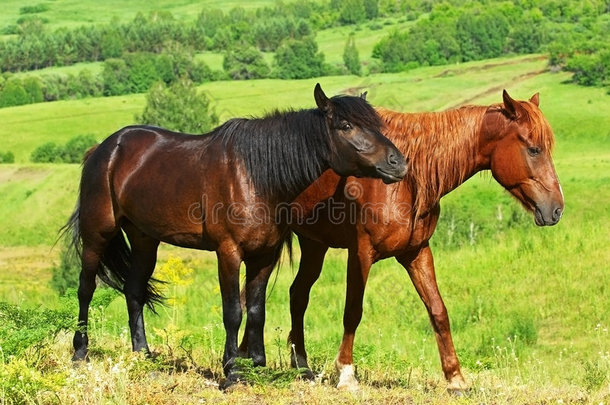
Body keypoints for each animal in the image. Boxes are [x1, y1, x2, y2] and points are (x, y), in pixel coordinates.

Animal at [63, 83, 404, 386]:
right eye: (346, 125)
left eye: (378, 125)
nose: (398, 163)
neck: (254, 176)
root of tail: (104, 149)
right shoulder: (228, 252)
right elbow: (233, 312)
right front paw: (232, 372)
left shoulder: (264, 255)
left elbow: (256, 311)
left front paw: (257, 365)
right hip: (97, 233)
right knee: (86, 288)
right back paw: (80, 354)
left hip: (145, 238)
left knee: (133, 290)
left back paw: (144, 355)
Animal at [280, 89, 560, 392]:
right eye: (534, 149)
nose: (556, 209)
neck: (405, 181)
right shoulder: (361, 253)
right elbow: (353, 310)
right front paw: (346, 374)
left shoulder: (416, 252)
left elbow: (438, 311)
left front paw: (456, 378)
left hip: (314, 245)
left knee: (298, 294)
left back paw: (301, 365)